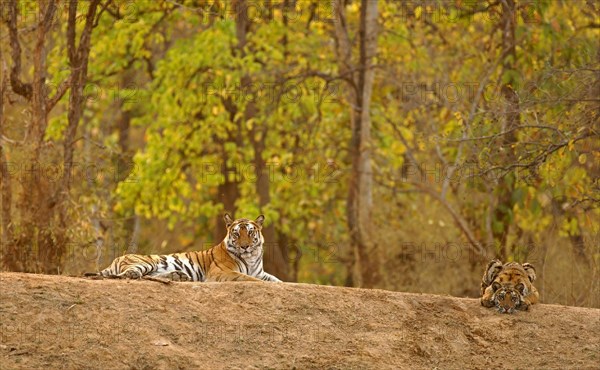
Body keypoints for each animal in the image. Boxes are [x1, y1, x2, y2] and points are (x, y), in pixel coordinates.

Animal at [88, 212, 282, 282]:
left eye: (250, 232)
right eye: (236, 234)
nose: (245, 246)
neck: (251, 258)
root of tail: (116, 259)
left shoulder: (261, 273)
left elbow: (277, 280)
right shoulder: (221, 272)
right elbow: (246, 278)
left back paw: (177, 276)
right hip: (145, 262)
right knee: (127, 274)